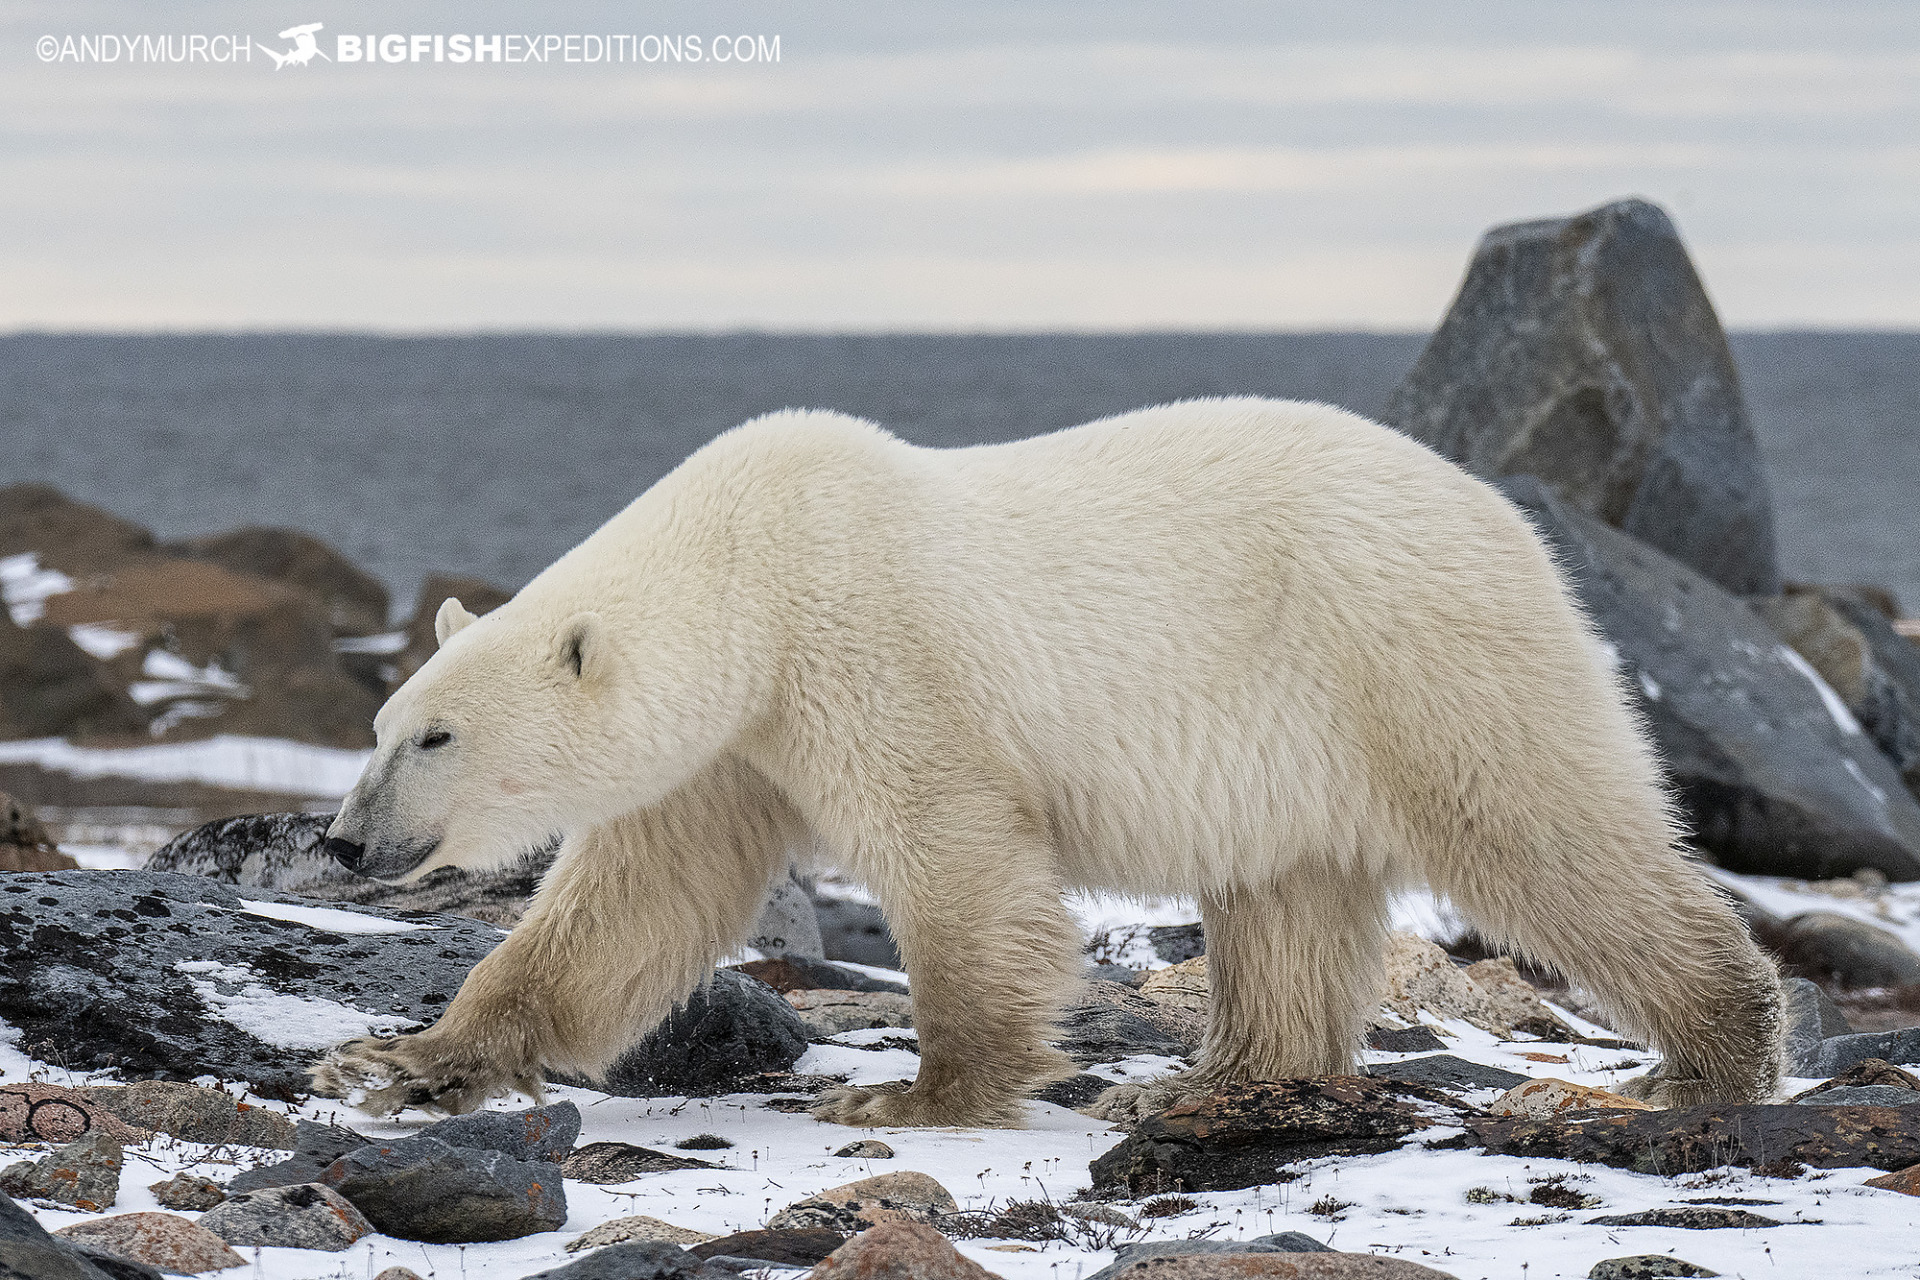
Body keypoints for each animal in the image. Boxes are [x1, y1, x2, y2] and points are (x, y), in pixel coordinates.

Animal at [312, 396, 1782, 1127]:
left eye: (437, 734)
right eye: (381, 728)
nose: (342, 839)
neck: (751, 573)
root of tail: (1510, 521)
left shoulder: (867, 650)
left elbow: (958, 860)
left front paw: (926, 1092)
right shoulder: (734, 744)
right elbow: (631, 905)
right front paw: (404, 1065)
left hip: (1410, 657)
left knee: (1543, 833)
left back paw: (1705, 1057)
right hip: (1305, 733)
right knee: (1290, 891)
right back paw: (1228, 1073)